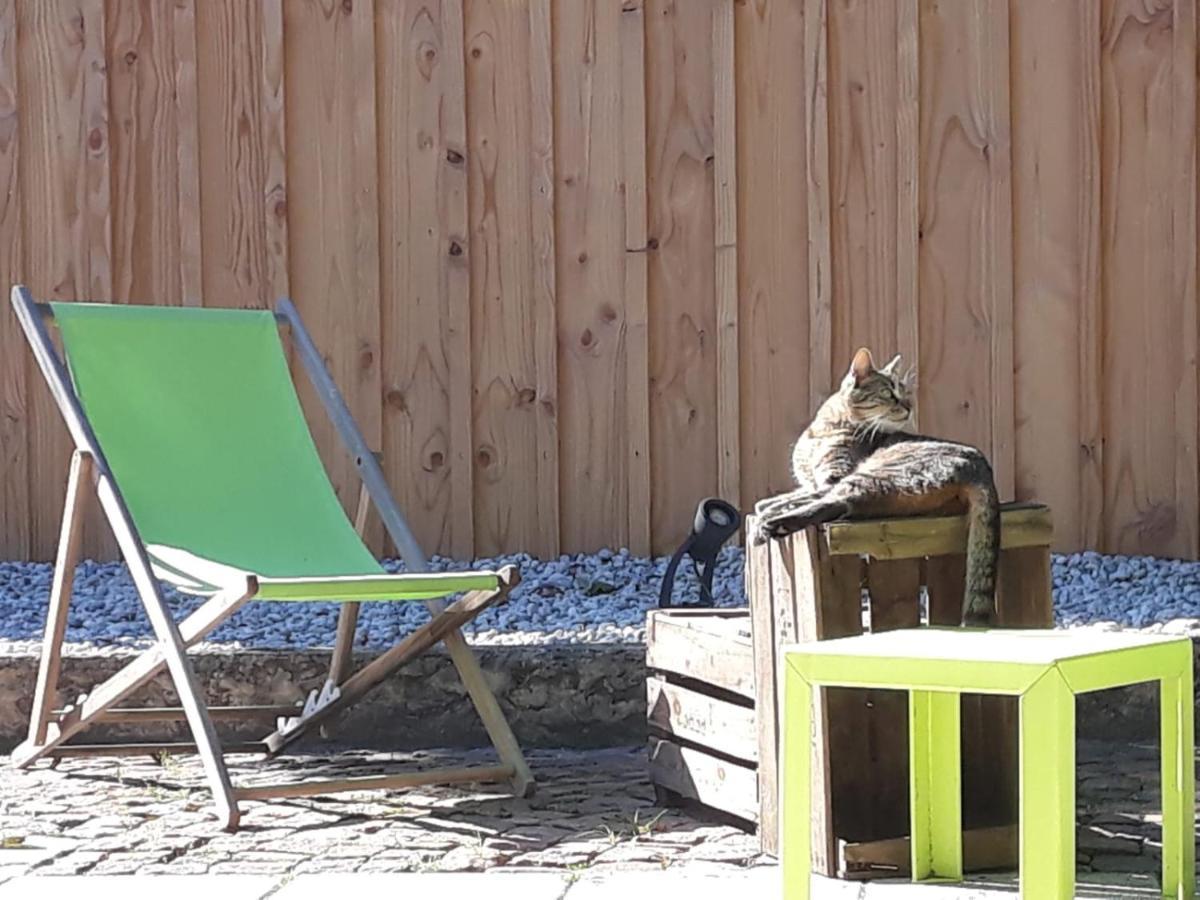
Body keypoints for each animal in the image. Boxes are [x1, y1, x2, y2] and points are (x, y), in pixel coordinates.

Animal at [753, 345, 998, 628]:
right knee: (847, 504)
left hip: (875, 472)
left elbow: (797, 498)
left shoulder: (832, 478)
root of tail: (981, 465)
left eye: (905, 393)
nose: (909, 406)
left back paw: (774, 524)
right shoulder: (810, 483)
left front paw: (768, 514)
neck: (826, 427)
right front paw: (767, 506)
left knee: (836, 502)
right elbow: (776, 498)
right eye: (889, 393)